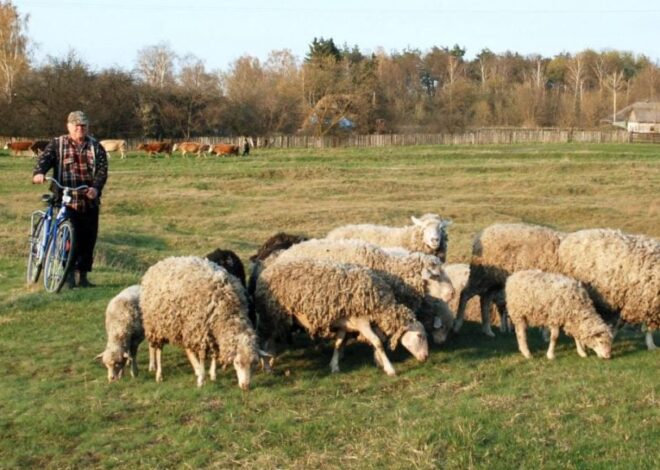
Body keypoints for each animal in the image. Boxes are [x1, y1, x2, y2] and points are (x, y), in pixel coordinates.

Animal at [140, 256, 262, 389]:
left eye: (253, 363)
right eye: (237, 362)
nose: (246, 386)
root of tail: (159, 263)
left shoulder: (211, 333)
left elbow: (214, 354)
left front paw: (212, 374)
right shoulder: (201, 331)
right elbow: (203, 356)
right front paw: (202, 379)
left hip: (183, 325)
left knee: (186, 348)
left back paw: (196, 369)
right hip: (157, 325)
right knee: (158, 350)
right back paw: (159, 373)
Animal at [255, 258, 429, 376]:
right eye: (419, 336)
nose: (426, 357)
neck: (381, 306)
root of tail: (266, 271)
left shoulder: (345, 325)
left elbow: (338, 344)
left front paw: (334, 366)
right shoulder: (362, 322)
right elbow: (377, 342)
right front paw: (390, 368)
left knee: (270, 341)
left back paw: (269, 362)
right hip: (270, 315)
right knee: (265, 340)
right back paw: (267, 366)